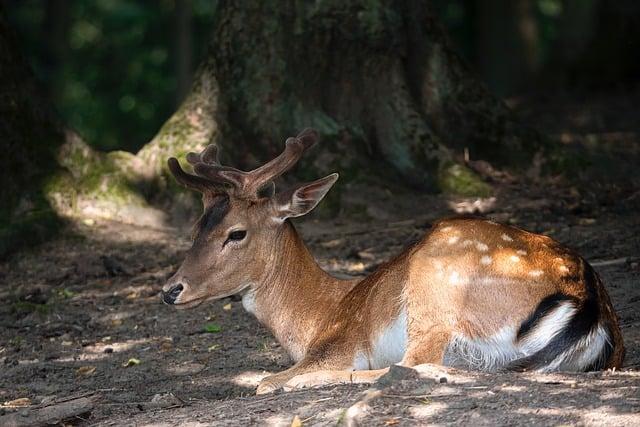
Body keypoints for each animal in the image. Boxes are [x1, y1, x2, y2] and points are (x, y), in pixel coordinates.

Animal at [161, 130, 624, 394]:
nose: (170, 290)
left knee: (413, 365)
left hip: (434, 285)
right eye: (197, 225)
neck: (318, 316)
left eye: (236, 232)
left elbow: (265, 381)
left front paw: (288, 379)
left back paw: (307, 382)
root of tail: (588, 304)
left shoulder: (339, 344)